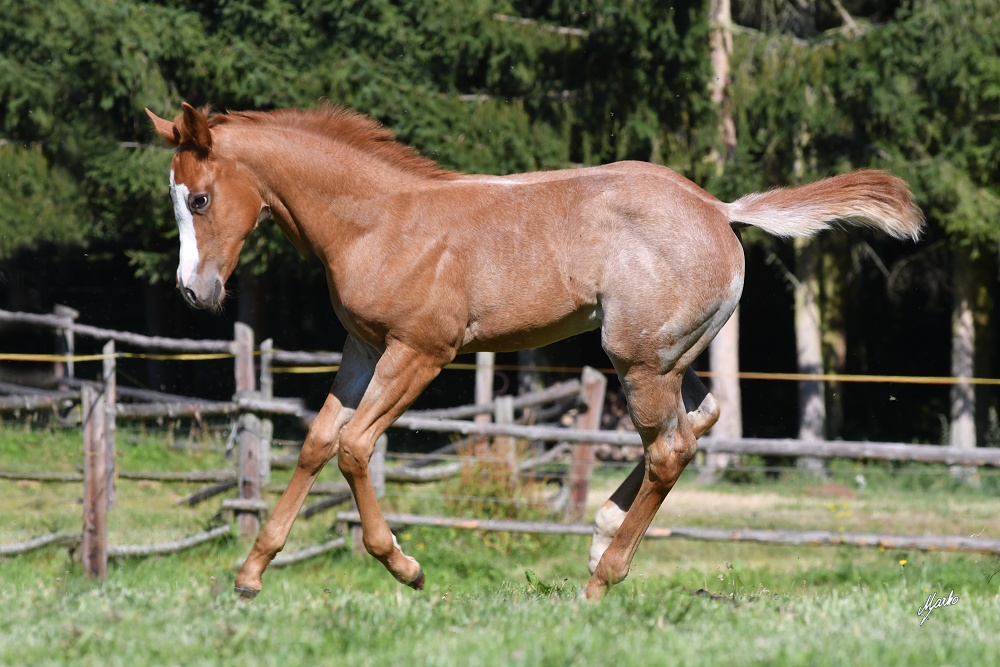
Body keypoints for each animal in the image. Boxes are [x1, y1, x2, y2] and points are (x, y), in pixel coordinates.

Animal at [146, 103, 920, 600]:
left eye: (201, 199)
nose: (193, 291)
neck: (377, 221)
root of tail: (718, 209)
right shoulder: (363, 346)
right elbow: (315, 441)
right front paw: (251, 572)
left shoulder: (421, 349)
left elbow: (356, 447)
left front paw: (405, 566)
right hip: (669, 357)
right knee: (696, 423)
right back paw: (604, 534)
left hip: (637, 361)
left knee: (670, 448)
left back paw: (600, 577)